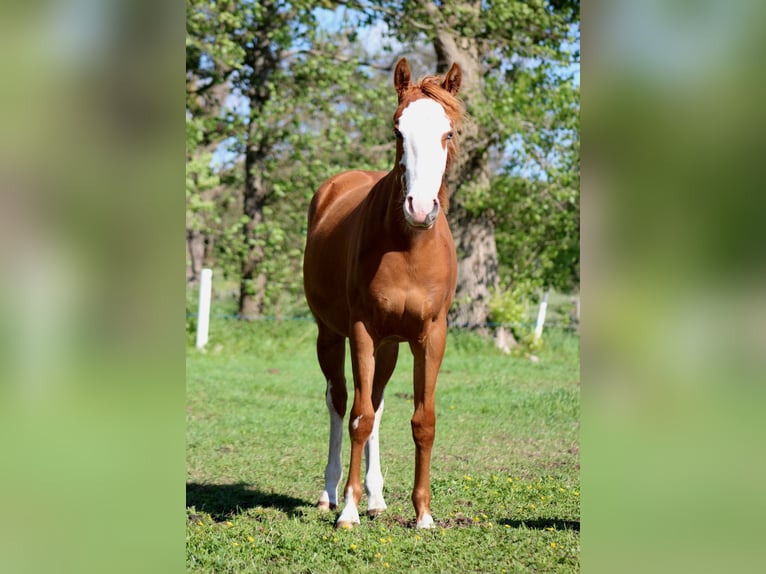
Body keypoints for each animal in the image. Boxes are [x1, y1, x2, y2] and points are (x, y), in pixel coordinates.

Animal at [303, 58, 464, 529]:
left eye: (449, 132)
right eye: (397, 130)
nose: (420, 208)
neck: (408, 248)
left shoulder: (431, 335)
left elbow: (422, 420)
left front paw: (423, 514)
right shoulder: (360, 331)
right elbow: (358, 417)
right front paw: (348, 511)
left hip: (390, 345)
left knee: (377, 404)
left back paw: (376, 498)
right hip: (330, 335)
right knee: (340, 401)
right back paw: (330, 494)